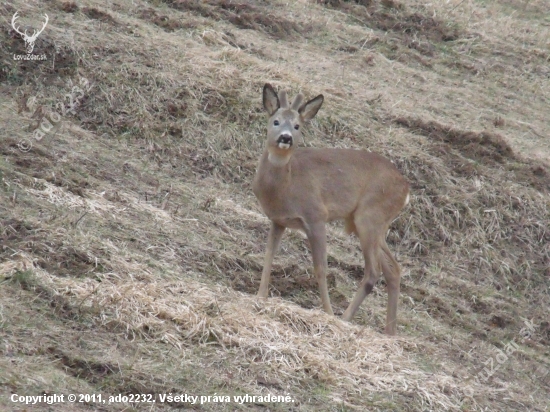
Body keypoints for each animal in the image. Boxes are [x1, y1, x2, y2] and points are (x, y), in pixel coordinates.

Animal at [253, 84, 410, 334]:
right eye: (275, 121)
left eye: (297, 126)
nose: (286, 138)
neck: (286, 187)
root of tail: (406, 190)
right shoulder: (278, 220)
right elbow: (269, 255)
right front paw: (260, 296)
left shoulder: (316, 216)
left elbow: (320, 267)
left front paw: (326, 313)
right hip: (370, 222)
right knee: (393, 268)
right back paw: (390, 333)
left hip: (370, 216)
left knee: (373, 271)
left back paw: (344, 318)